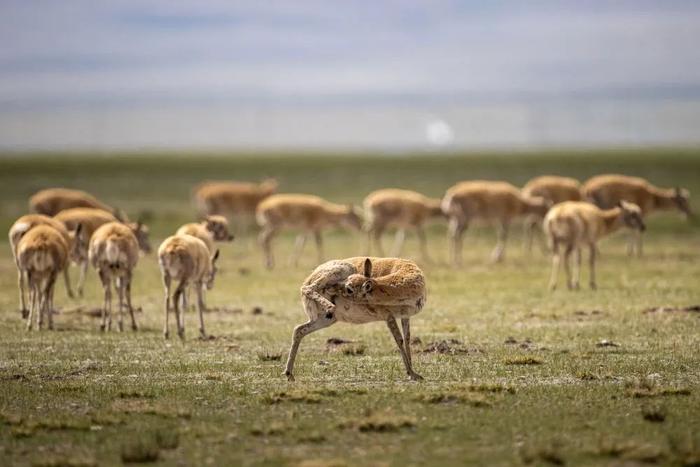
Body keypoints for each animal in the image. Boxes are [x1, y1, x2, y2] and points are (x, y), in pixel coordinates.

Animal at [284, 258, 426, 382]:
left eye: (349, 288)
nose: (330, 288)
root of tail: (309, 278)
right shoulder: (388, 316)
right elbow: (399, 340)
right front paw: (412, 373)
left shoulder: (405, 316)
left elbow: (407, 340)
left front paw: (413, 373)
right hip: (341, 272)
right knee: (308, 289)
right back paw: (329, 305)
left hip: (325, 320)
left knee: (299, 330)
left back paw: (289, 374)